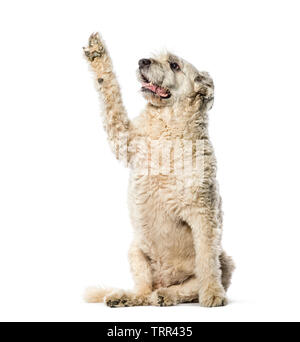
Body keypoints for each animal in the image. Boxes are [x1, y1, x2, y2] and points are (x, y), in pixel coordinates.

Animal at [82, 32, 234, 308]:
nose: (143, 61)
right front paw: (98, 53)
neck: (167, 125)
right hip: (135, 250)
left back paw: (169, 295)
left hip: (226, 259)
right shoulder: (123, 137)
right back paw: (125, 297)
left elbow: (206, 258)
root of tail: (164, 279)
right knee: (144, 292)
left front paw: (213, 295)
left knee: (189, 286)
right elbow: (111, 97)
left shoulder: (204, 211)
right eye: (154, 57)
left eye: (174, 65)